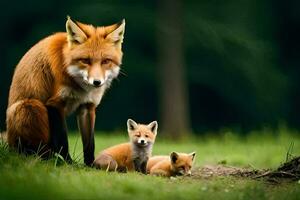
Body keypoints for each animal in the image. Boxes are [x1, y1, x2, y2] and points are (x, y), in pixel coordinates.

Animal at [5, 16, 125, 165]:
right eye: (85, 60)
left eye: (105, 61)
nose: (97, 82)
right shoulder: (55, 104)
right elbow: (62, 139)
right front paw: (67, 162)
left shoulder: (87, 106)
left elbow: (89, 143)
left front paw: (90, 164)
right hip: (32, 107)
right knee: (34, 150)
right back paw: (46, 158)